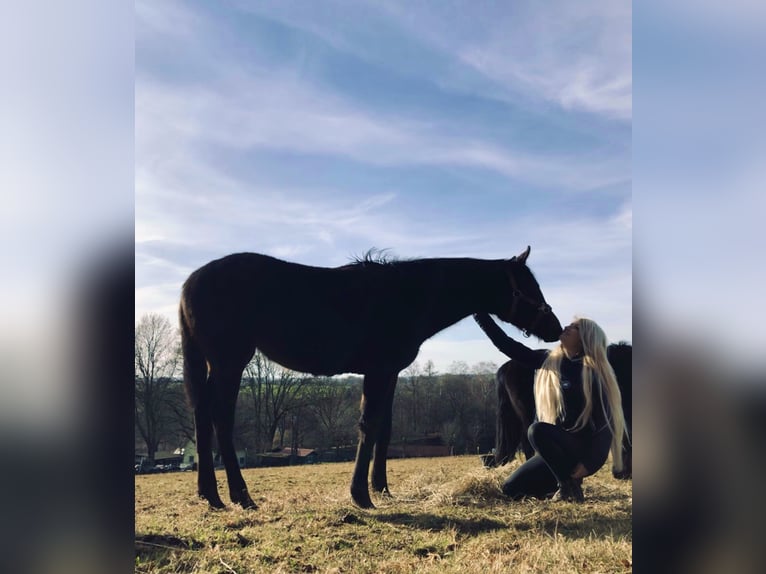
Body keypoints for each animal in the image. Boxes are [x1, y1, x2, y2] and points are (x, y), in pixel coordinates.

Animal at [179, 246, 563, 510]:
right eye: (528, 287)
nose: (555, 328)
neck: (406, 296)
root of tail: (190, 283)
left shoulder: (389, 372)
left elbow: (384, 429)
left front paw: (380, 487)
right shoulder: (378, 371)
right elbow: (368, 425)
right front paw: (361, 495)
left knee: (202, 415)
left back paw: (210, 495)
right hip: (230, 363)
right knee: (220, 419)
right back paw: (240, 496)